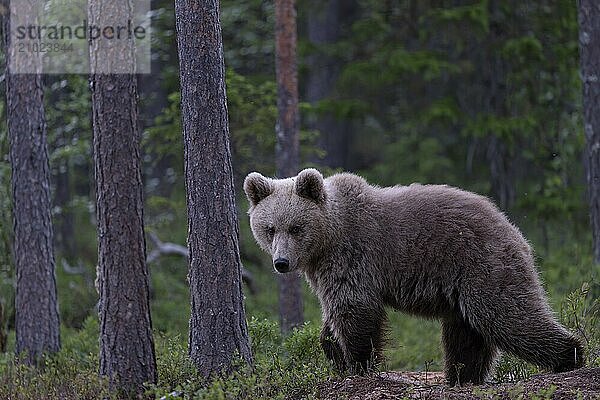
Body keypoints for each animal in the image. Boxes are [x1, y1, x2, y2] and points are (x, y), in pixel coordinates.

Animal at [241, 168, 584, 384]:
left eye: (296, 227)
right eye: (269, 228)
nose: (281, 263)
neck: (327, 240)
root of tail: (512, 228)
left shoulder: (354, 256)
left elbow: (355, 310)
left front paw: (358, 364)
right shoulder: (327, 269)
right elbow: (334, 315)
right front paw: (333, 350)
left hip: (482, 265)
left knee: (507, 316)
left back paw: (571, 355)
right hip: (462, 285)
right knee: (466, 333)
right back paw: (462, 377)